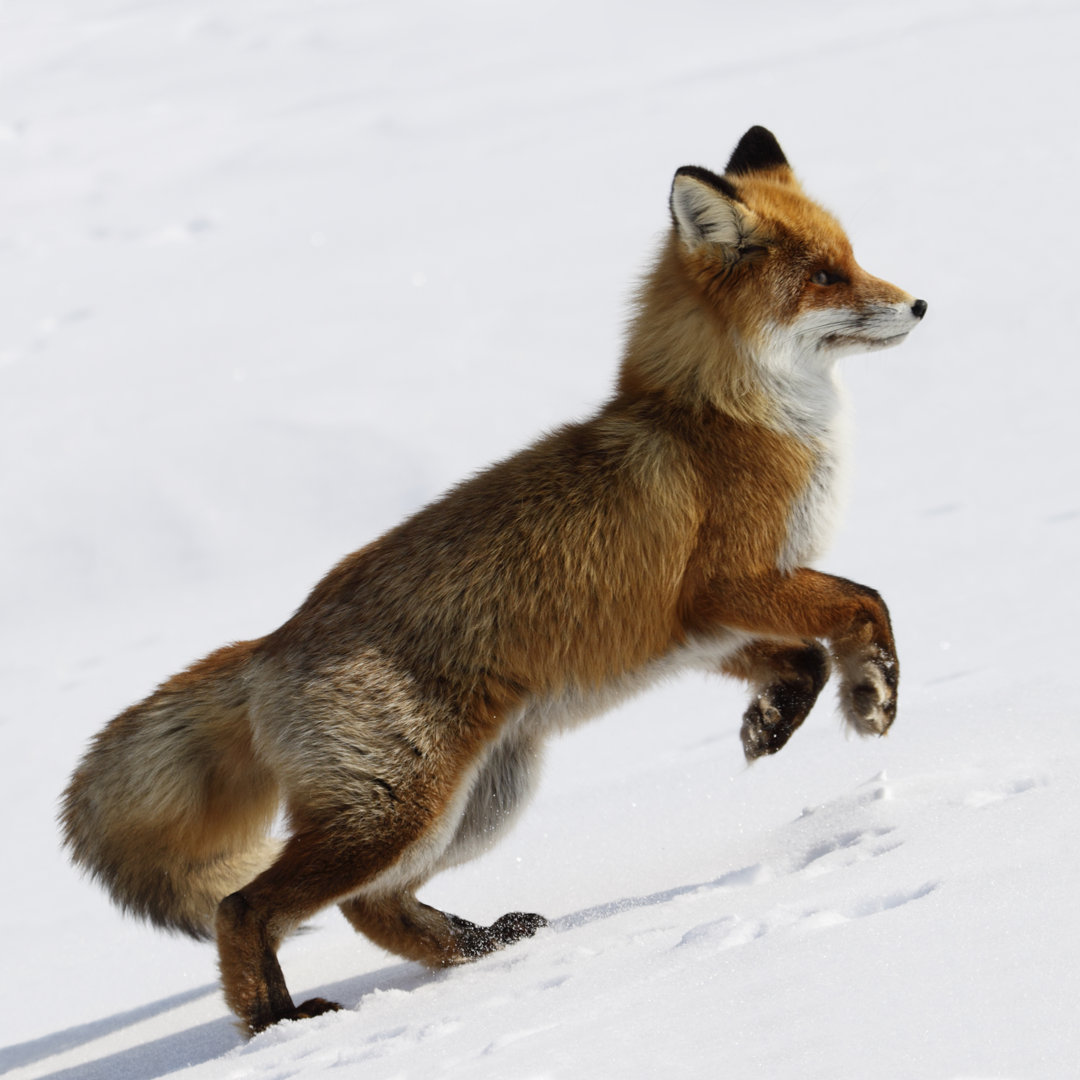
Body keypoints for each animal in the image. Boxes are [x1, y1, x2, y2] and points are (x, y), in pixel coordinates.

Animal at [59, 128, 924, 1036]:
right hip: (397, 812)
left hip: (476, 805)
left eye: (852, 258)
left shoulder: (694, 632)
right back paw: (280, 1025)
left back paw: (479, 948)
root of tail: (269, 642)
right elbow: (864, 600)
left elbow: (806, 655)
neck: (726, 415)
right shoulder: (722, 588)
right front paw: (876, 693)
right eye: (825, 276)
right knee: (248, 907)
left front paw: (778, 717)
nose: (920, 305)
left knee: (372, 907)